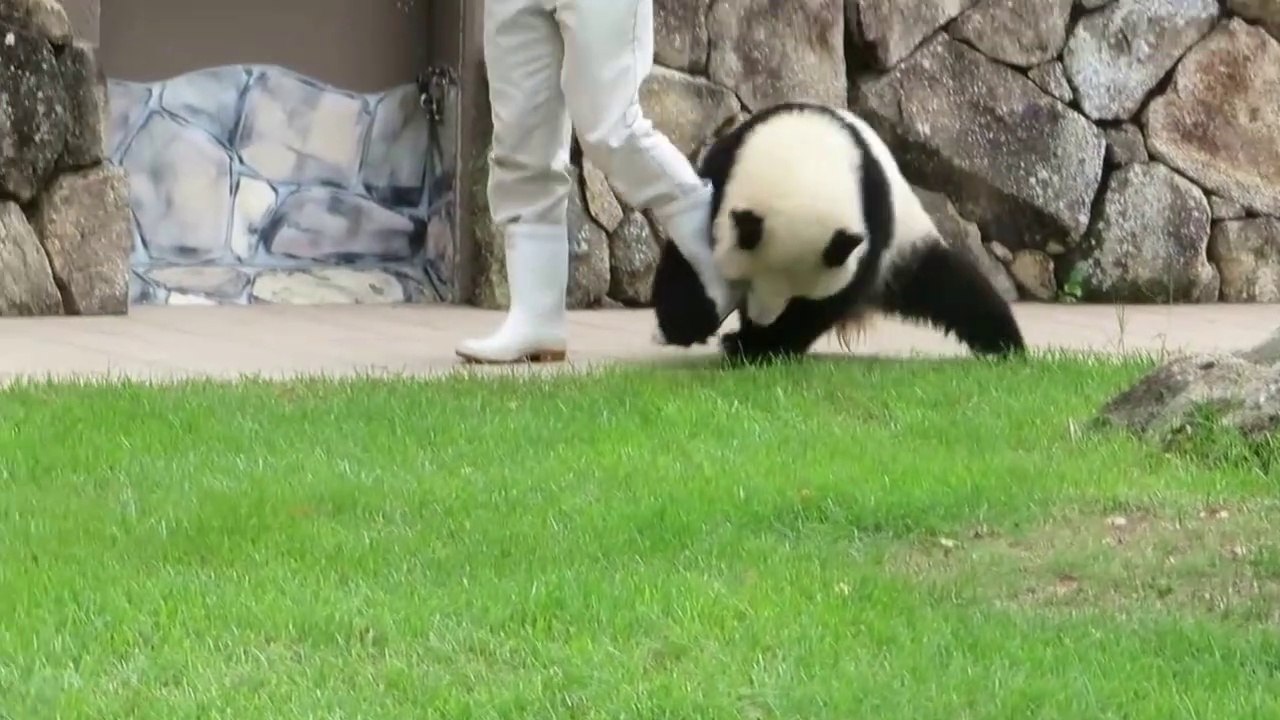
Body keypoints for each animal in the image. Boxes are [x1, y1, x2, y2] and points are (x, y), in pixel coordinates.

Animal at [651, 100, 1026, 364]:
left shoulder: (874, 225)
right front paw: (687, 324)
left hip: (904, 248)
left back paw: (1006, 345)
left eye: (797, 296)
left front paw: (762, 346)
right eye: (746, 282)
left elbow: (828, 302)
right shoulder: (723, 168)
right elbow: (687, 253)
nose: (762, 319)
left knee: (952, 288)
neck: (805, 157)